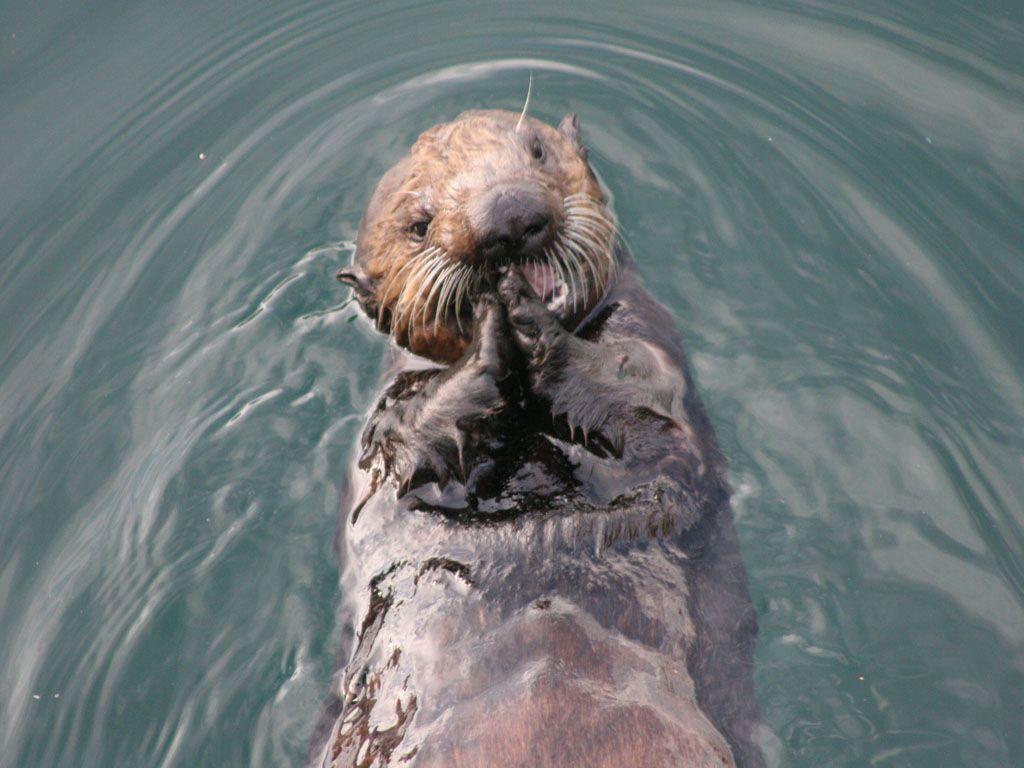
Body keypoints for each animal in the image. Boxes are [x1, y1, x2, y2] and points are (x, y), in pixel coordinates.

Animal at [314, 109, 764, 767]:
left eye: (536, 151)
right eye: (418, 225)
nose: (506, 217)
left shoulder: (653, 356)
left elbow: (649, 413)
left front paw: (524, 312)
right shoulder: (385, 435)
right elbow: (407, 460)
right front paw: (489, 330)